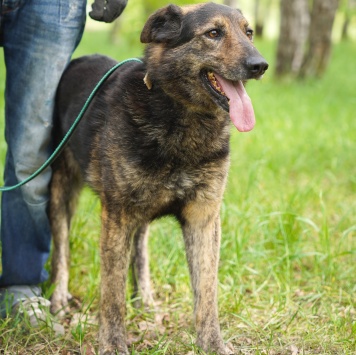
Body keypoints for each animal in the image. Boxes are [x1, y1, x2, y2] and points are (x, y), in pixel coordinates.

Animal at [49, 1, 268, 354]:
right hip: (61, 190)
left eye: (248, 32)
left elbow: (207, 292)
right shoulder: (116, 216)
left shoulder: (204, 217)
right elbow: (112, 292)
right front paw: (113, 344)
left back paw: (145, 297)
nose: (260, 65)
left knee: (139, 248)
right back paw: (58, 296)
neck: (183, 120)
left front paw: (212, 343)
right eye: (213, 33)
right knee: (61, 248)